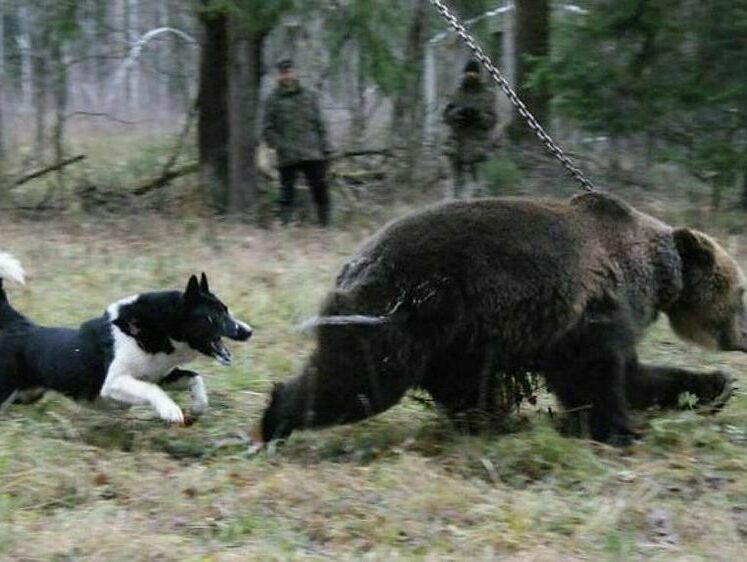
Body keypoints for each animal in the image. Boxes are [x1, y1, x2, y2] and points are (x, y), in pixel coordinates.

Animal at [0, 252, 254, 422]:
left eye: (226, 309)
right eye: (215, 316)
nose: (248, 331)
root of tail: (15, 323)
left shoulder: (161, 376)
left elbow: (195, 378)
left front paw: (199, 407)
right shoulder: (114, 383)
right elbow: (152, 390)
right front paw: (170, 410)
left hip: (27, 394)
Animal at [254, 190, 744, 444]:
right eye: (742, 293)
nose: (742, 337)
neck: (652, 271)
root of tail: (353, 264)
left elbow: (635, 374)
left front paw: (715, 384)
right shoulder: (593, 310)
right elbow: (596, 377)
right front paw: (619, 430)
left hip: (451, 338)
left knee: (459, 387)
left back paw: (490, 422)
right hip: (402, 314)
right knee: (359, 383)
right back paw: (276, 419)